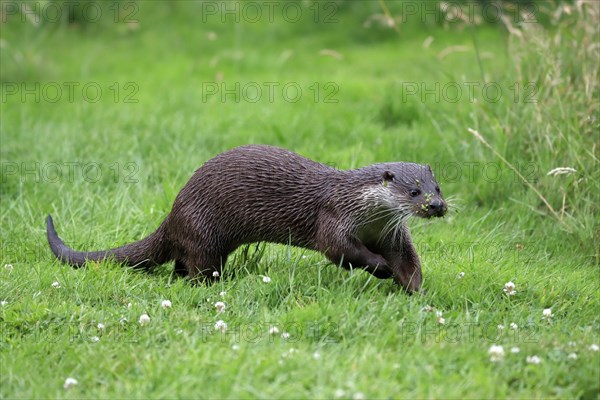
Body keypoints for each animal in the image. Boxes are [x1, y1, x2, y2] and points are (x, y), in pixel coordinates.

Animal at [47, 145, 448, 292]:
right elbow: (343, 252)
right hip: (203, 232)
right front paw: (381, 269)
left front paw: (414, 289)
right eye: (414, 192)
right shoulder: (333, 219)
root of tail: (173, 213)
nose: (437, 206)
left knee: (180, 263)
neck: (364, 213)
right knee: (199, 266)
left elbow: (408, 260)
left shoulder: (391, 233)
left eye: (438, 186)